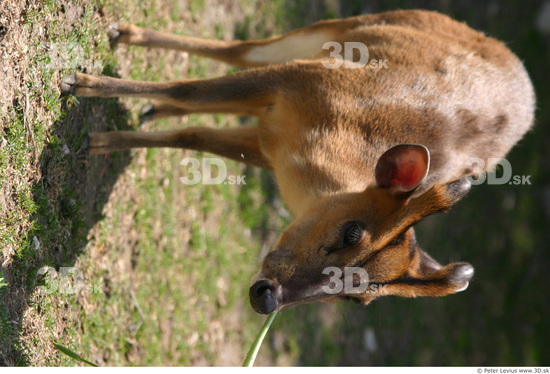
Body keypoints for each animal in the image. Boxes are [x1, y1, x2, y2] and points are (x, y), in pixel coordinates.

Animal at [60, 9, 536, 312]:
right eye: (350, 232)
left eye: (357, 297)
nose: (268, 296)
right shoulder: (299, 79)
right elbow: (189, 89)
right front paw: (80, 83)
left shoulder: (265, 143)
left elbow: (192, 135)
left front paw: (101, 140)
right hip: (337, 29)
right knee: (240, 48)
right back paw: (123, 35)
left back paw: (146, 104)